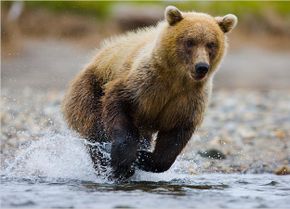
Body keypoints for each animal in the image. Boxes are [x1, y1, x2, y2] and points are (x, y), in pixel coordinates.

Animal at [61, 6, 238, 180]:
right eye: (190, 42)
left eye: (211, 44)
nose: (201, 67)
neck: (176, 79)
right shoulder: (142, 84)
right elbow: (118, 104)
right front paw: (123, 160)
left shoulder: (187, 99)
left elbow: (175, 137)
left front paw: (143, 158)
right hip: (90, 89)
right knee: (95, 129)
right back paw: (104, 164)